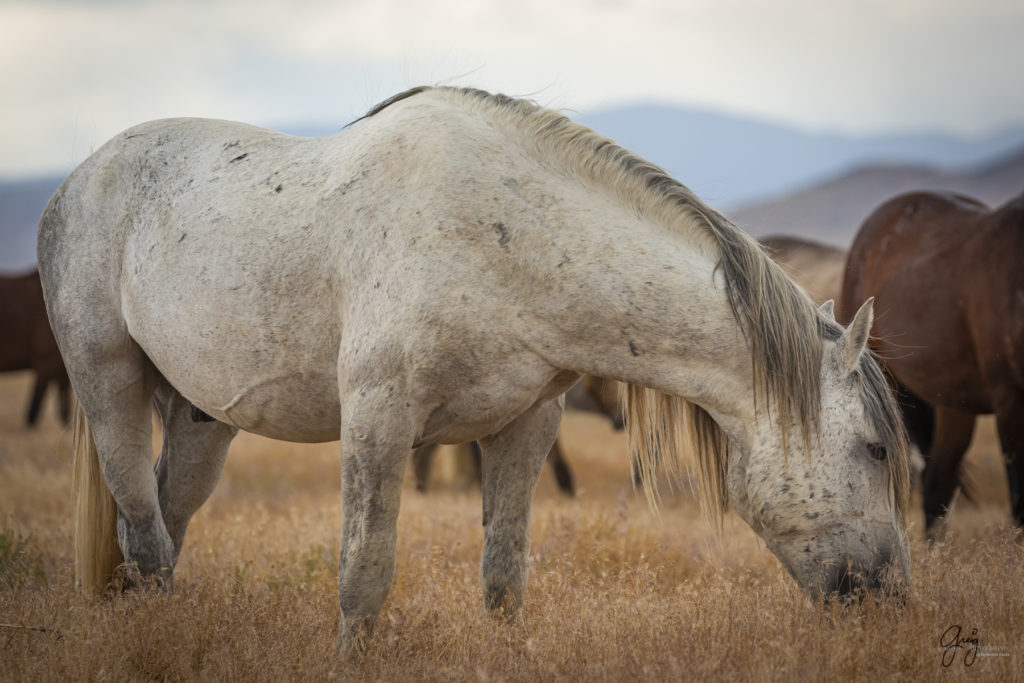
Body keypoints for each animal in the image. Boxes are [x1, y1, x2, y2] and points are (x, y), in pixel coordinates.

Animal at [36, 85, 909, 651]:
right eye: (876, 448)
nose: (892, 597)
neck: (507, 239)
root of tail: (74, 181)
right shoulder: (378, 419)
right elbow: (364, 572)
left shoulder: (523, 426)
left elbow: (503, 573)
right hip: (109, 383)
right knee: (143, 529)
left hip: (202, 417)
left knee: (166, 525)